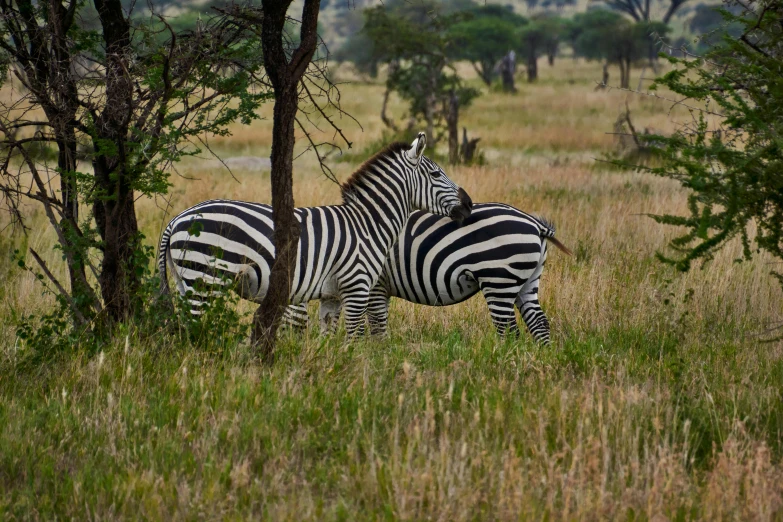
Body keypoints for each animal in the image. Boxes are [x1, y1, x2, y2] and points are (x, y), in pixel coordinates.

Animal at [158, 133, 472, 338]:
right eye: (436, 174)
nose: (468, 204)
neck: (368, 224)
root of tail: (176, 219)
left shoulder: (331, 295)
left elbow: (328, 340)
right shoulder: (356, 288)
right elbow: (354, 338)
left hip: (188, 282)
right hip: (205, 278)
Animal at [286, 202, 568, 342]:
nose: (290, 353)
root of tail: (534, 224)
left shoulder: (375, 285)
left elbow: (376, 325)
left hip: (499, 279)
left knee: (508, 330)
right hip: (526, 281)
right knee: (538, 323)